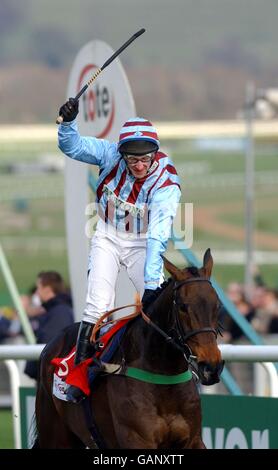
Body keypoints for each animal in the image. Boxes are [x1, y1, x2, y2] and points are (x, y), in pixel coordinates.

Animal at [34, 248, 224, 450]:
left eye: (218, 305)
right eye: (183, 307)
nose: (211, 367)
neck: (163, 378)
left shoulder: (193, 440)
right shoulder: (136, 439)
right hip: (55, 436)